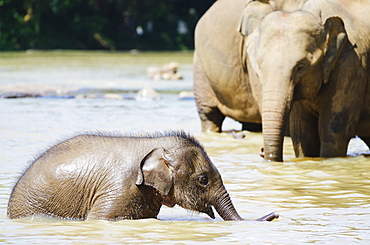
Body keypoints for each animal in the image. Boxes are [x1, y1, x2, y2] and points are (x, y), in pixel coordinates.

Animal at [238, 0, 370, 162]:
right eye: (259, 67)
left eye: (300, 67)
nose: (262, 151)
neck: (317, 17)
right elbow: (303, 134)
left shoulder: (351, 65)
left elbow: (334, 131)